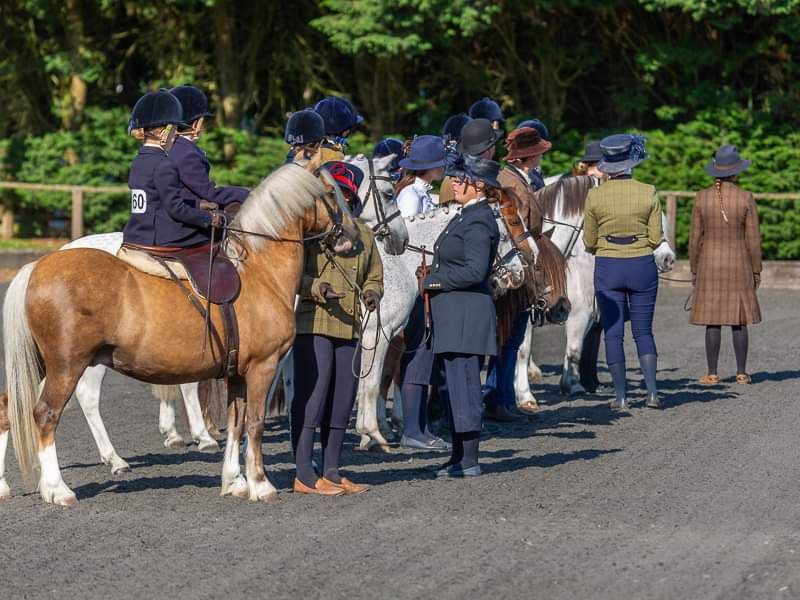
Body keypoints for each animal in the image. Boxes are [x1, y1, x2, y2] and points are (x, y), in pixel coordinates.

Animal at [2, 164, 360, 506]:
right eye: (332, 193)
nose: (353, 238)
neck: (260, 270)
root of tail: (36, 267)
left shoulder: (237, 372)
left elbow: (236, 421)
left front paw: (235, 482)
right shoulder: (263, 366)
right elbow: (255, 422)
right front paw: (260, 485)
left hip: (43, 364)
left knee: (7, 408)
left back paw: (7, 486)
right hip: (68, 366)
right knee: (47, 415)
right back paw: (59, 489)